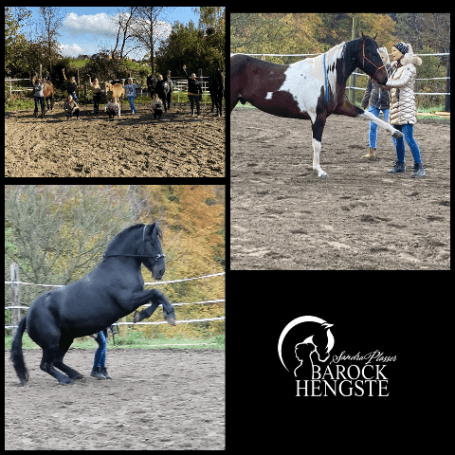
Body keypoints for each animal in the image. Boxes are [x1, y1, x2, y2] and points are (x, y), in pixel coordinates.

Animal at [11, 223, 176, 386]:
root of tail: (28, 316)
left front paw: (145, 315)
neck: (118, 268)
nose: (160, 271)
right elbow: (157, 293)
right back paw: (65, 379)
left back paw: (76, 375)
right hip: (52, 342)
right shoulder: (128, 301)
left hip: (66, 339)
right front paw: (169, 315)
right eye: (151, 243)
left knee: (57, 361)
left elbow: (156, 298)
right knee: (46, 365)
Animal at [232, 32, 402, 177]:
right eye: (372, 53)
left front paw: (396, 132)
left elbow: (369, 115)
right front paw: (319, 171)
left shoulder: (342, 107)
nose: (384, 79)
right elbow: (317, 144)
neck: (325, 76)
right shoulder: (318, 116)